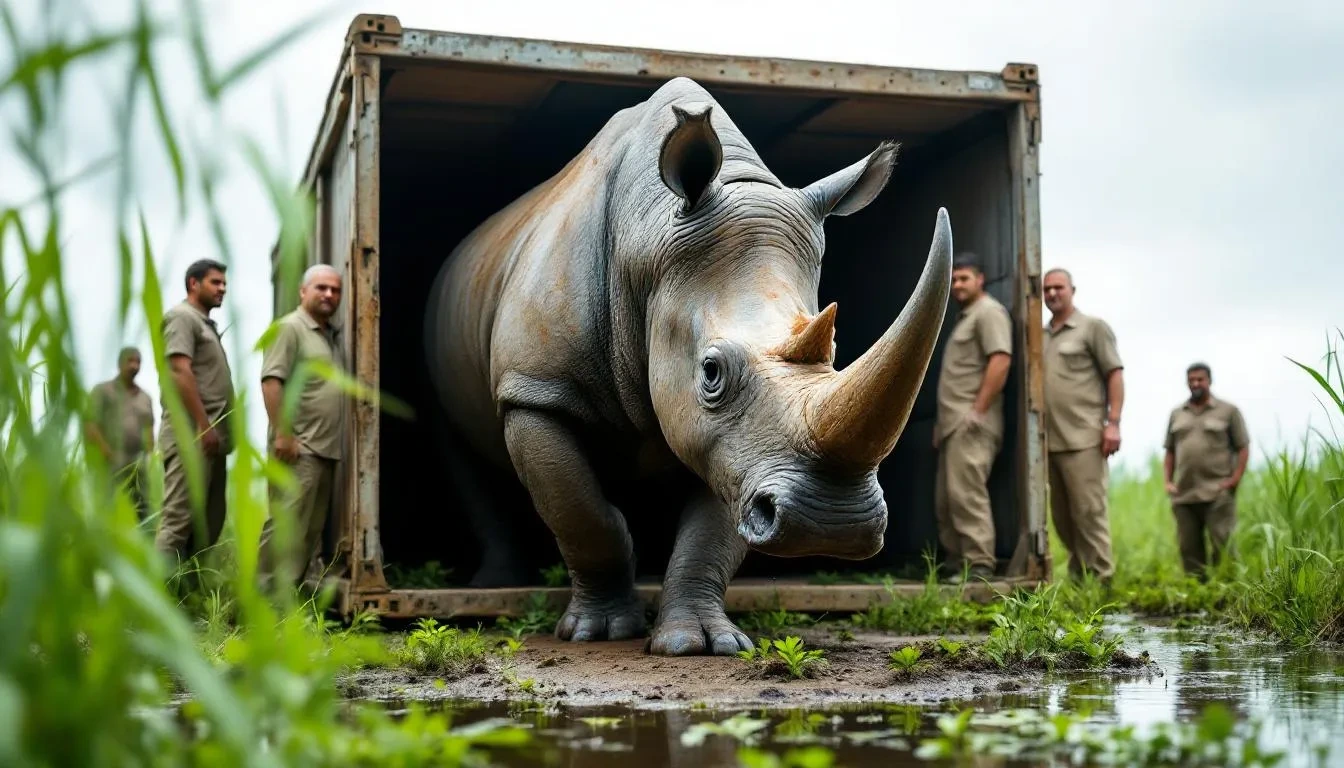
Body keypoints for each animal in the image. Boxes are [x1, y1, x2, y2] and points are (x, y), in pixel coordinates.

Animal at [423, 76, 952, 656]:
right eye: (711, 372)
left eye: (835, 354)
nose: (830, 524)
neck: (646, 240)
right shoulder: (537, 391)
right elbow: (581, 513)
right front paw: (598, 633)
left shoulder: (734, 446)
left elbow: (710, 529)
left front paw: (700, 643)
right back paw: (491, 587)